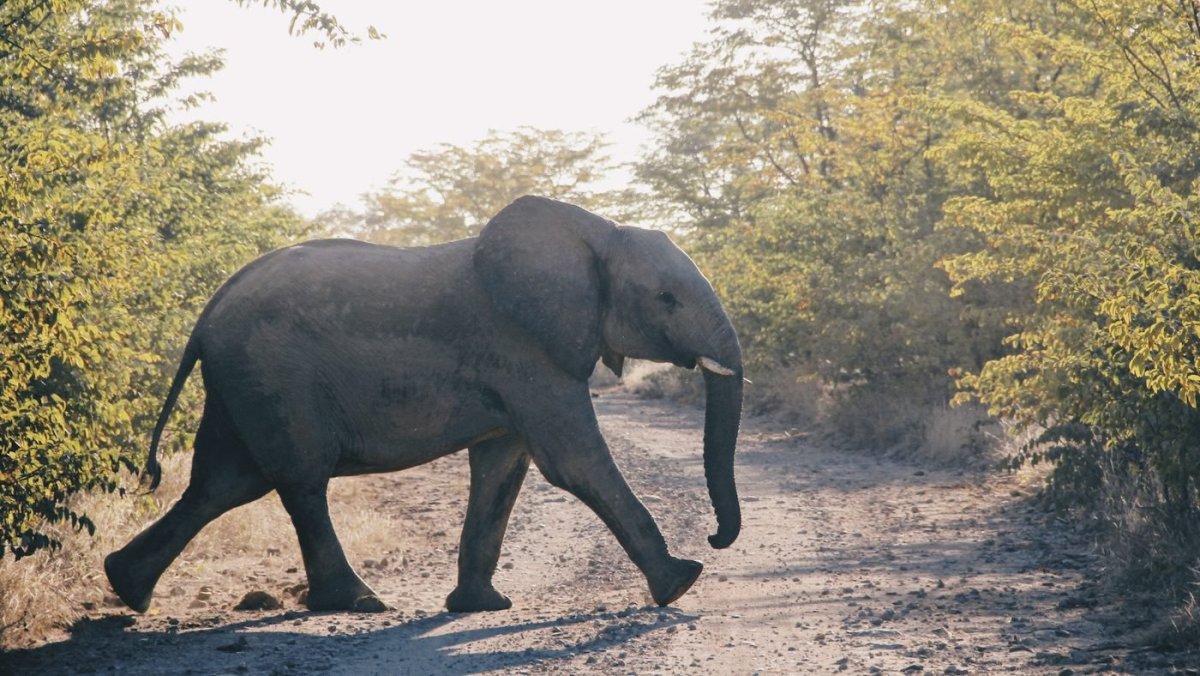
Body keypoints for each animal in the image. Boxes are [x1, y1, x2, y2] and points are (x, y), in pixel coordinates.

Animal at [104, 195, 743, 614]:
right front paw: (682, 583)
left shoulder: (521, 365)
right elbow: (575, 463)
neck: (597, 231)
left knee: (223, 484)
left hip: (241, 384)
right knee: (298, 482)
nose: (716, 538)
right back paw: (359, 603)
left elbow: (502, 469)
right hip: (271, 377)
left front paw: (481, 607)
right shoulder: (526, 349)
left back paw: (127, 591)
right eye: (666, 298)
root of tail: (206, 315)